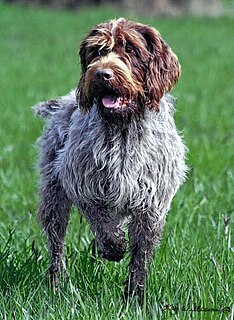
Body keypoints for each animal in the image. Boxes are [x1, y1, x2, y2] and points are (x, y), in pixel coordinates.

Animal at [33, 18, 187, 302]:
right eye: (96, 51)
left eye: (131, 49)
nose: (102, 74)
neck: (123, 128)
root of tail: (63, 102)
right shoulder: (82, 184)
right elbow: (102, 222)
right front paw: (112, 247)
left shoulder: (151, 204)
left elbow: (141, 255)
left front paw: (135, 297)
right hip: (53, 196)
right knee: (56, 245)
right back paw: (57, 284)